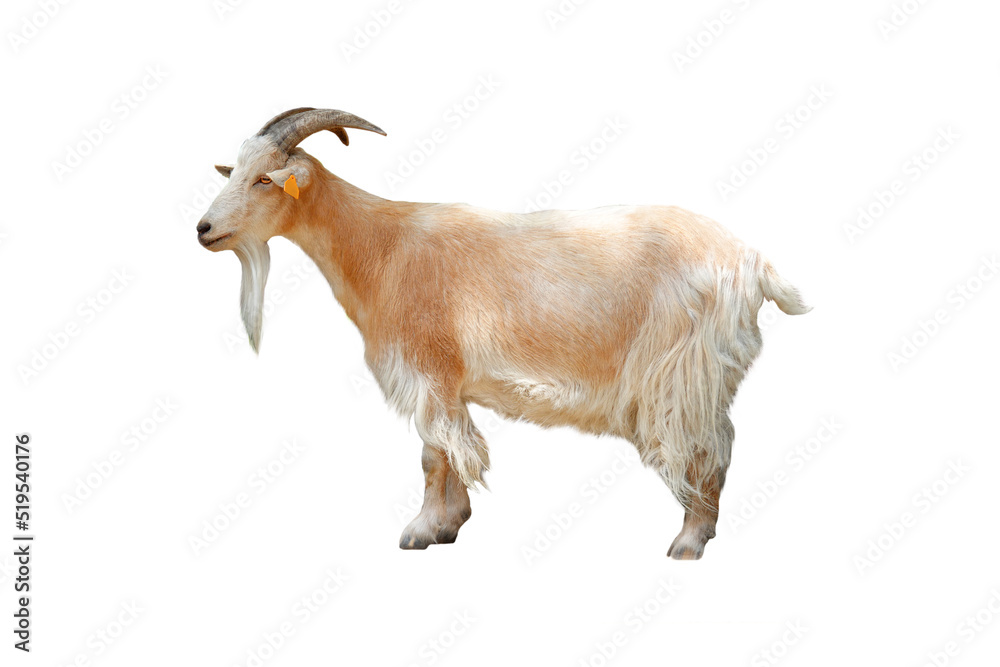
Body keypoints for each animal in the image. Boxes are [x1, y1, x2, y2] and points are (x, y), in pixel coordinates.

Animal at [197, 108, 810, 559]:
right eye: (237, 172)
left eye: (264, 179)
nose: (203, 229)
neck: (380, 247)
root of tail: (751, 262)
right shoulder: (444, 383)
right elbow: (445, 450)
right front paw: (450, 524)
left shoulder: (429, 369)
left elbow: (434, 455)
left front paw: (421, 531)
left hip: (682, 370)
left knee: (709, 446)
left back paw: (688, 541)